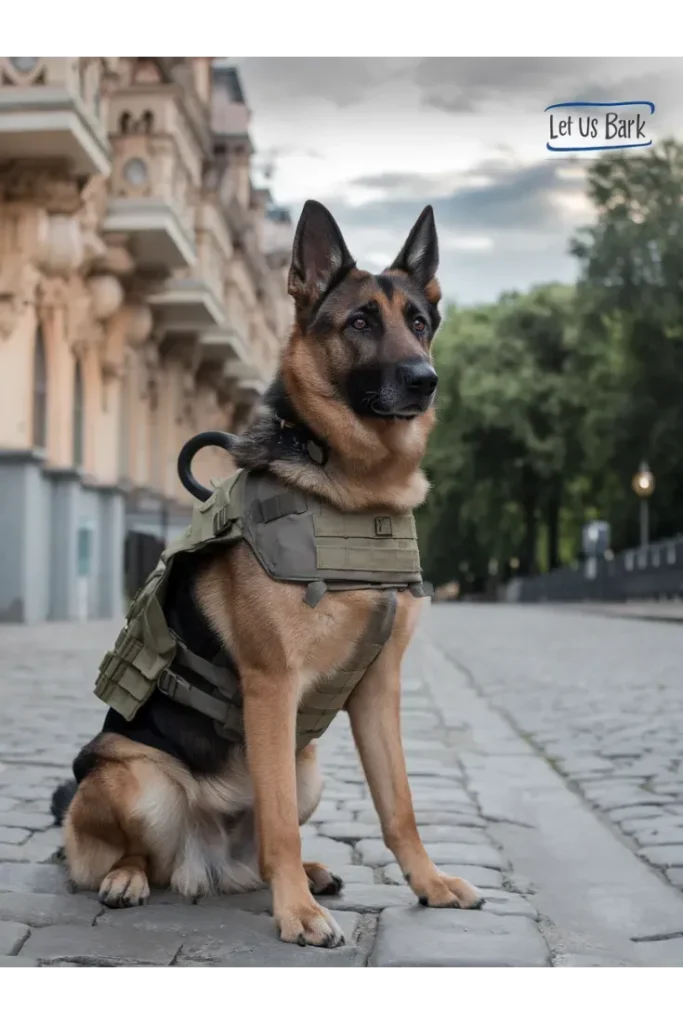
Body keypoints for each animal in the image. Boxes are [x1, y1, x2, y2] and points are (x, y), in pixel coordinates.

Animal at [50, 201, 483, 950]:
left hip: (307, 771)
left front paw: (427, 884)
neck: (355, 490)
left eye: (419, 322)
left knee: (255, 848)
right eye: (360, 322)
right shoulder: (273, 687)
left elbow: (398, 804)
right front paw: (297, 917)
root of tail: (204, 861)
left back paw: (307, 872)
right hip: (133, 778)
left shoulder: (379, 690)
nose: (423, 379)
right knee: (127, 849)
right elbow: (279, 821)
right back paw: (129, 879)